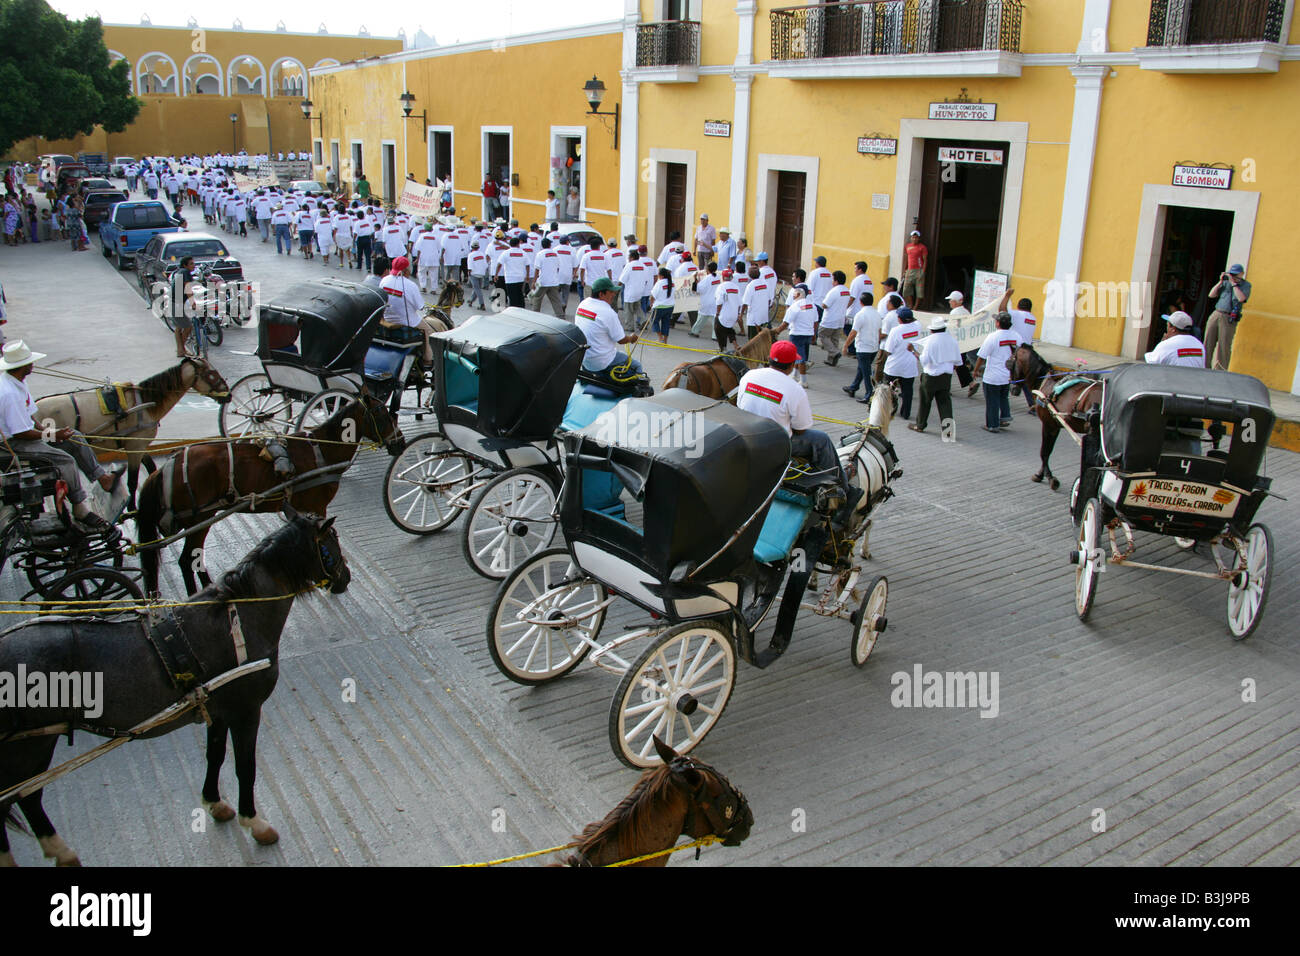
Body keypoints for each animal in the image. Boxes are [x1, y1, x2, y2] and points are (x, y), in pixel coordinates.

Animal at [1, 515, 351, 868]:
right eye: (331, 541)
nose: (345, 577)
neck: (239, 616)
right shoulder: (246, 711)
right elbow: (245, 767)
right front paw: (254, 821)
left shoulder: (218, 710)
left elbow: (215, 754)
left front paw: (214, 802)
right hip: (29, 745)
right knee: (21, 799)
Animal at [34, 356, 232, 509]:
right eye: (211, 373)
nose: (228, 395)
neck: (145, 402)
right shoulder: (134, 447)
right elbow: (132, 481)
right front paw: (131, 508)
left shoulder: (139, 445)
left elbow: (150, 468)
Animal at [135, 392, 403, 595]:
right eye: (382, 413)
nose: (399, 442)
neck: (322, 451)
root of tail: (167, 465)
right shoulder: (318, 507)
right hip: (200, 519)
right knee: (187, 560)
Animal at [1008, 345, 1102, 494]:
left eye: (1009, 363)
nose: (1013, 388)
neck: (1046, 381)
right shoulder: (1056, 425)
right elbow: (1048, 450)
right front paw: (1045, 475)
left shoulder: (1048, 425)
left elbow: (1044, 452)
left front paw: (1045, 476)